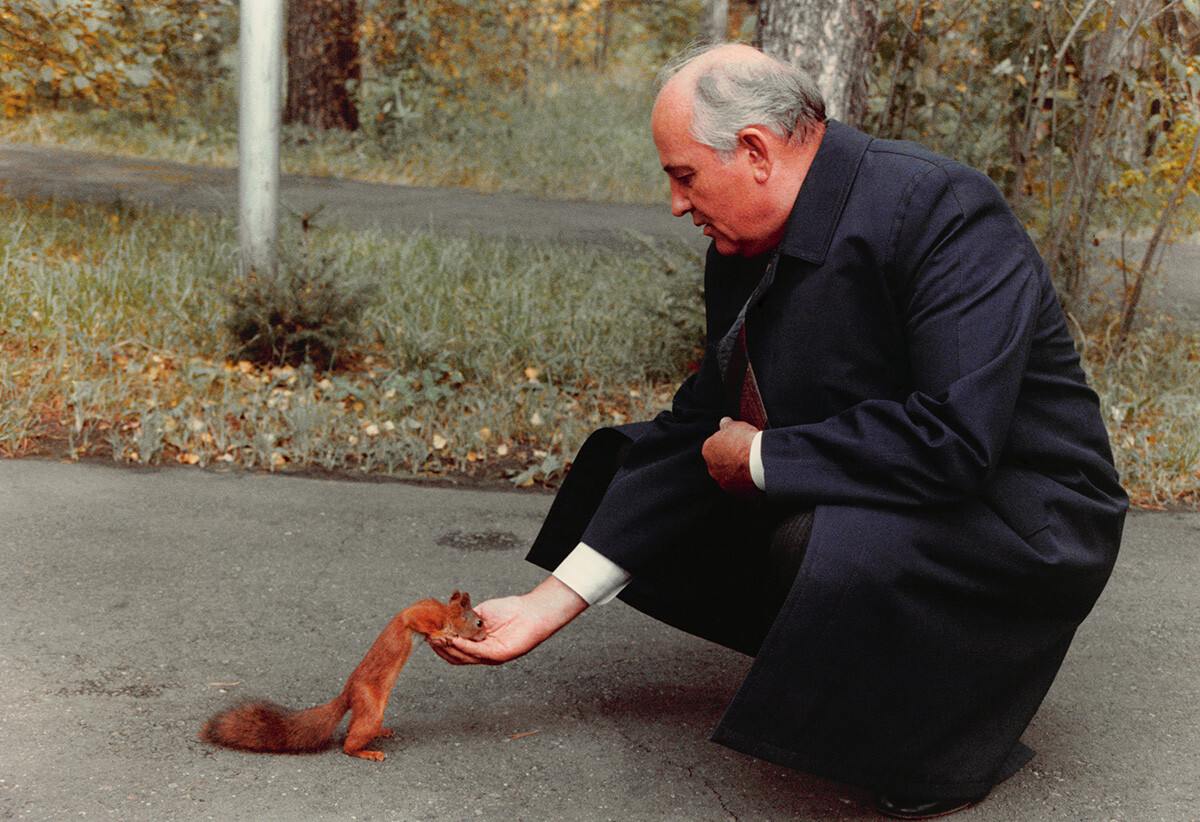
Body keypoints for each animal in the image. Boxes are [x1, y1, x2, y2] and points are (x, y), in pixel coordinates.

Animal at [201, 590, 487, 758]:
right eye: (479, 622)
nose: (485, 635)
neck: (446, 613)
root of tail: (348, 693)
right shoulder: (419, 614)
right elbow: (421, 624)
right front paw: (441, 634)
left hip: (366, 709)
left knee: (351, 729)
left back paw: (378, 735)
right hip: (370, 706)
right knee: (348, 745)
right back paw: (369, 753)